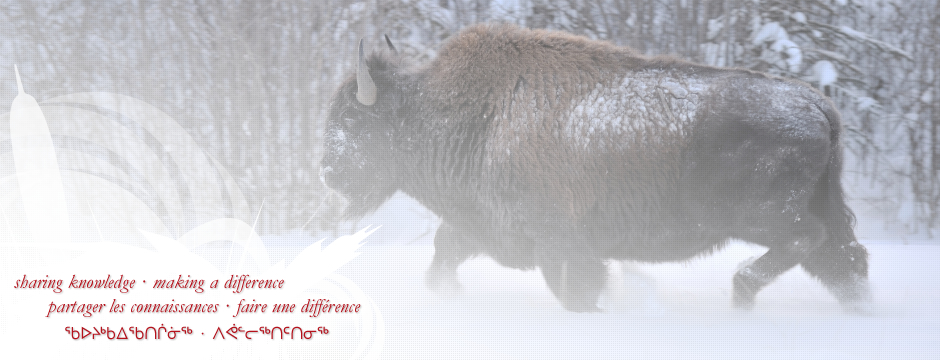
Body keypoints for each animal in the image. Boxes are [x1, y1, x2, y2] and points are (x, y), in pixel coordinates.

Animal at [320, 24, 872, 312]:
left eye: (351, 118)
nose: (326, 171)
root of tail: (817, 104)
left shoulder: (561, 244)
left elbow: (575, 291)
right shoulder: (481, 227)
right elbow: (443, 258)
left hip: (760, 216)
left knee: (810, 241)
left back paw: (741, 291)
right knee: (845, 263)